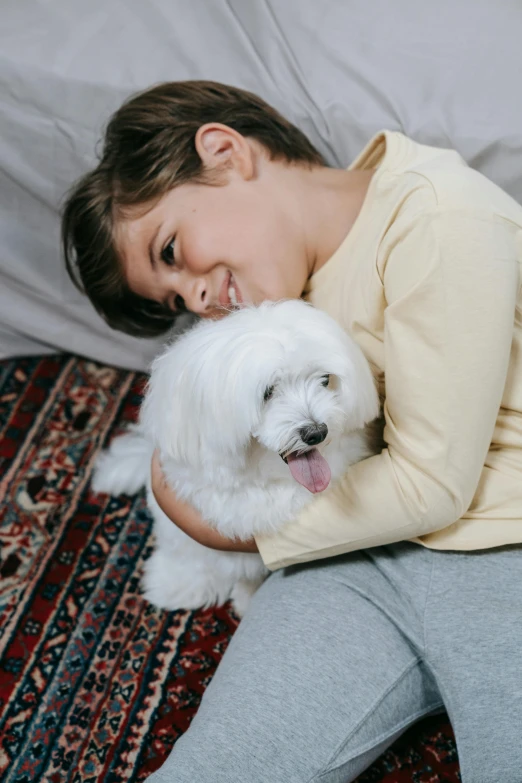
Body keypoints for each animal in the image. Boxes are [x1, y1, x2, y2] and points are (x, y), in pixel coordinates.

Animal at [92, 300, 378, 620]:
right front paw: (177, 584)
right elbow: (188, 555)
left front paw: (245, 597)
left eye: (325, 380)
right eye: (267, 391)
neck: (264, 480)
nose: (317, 432)